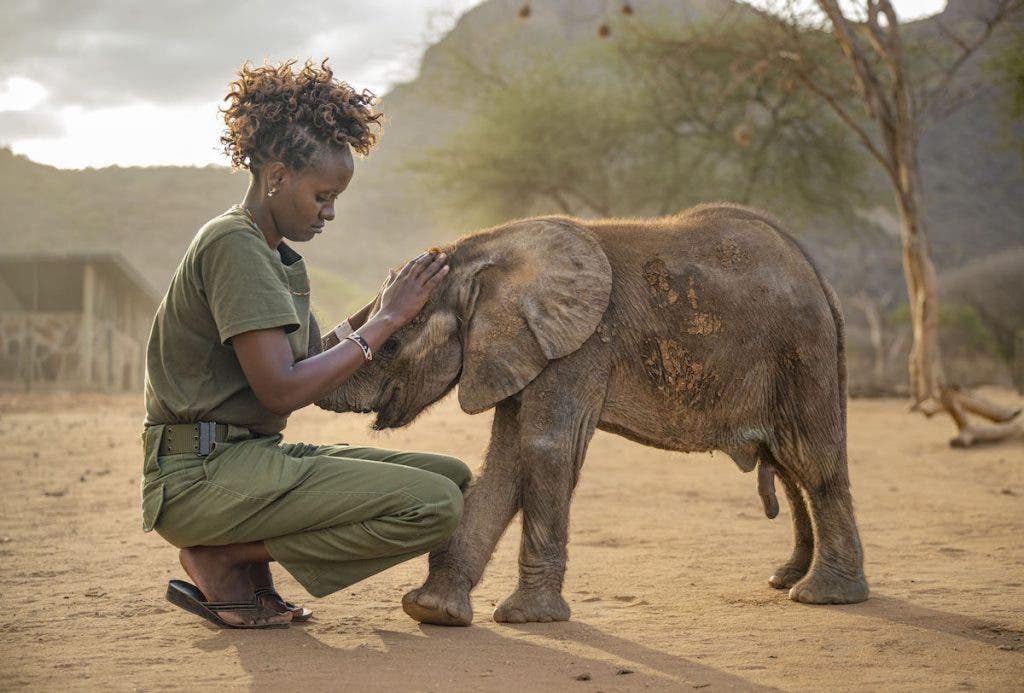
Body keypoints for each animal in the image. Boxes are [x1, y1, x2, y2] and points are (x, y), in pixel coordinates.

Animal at [312, 203, 869, 626]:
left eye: (395, 340)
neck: (487, 256)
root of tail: (820, 280)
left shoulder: (579, 344)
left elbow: (544, 448)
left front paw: (526, 618)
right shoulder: (525, 347)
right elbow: (507, 460)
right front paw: (433, 612)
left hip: (798, 349)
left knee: (811, 461)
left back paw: (822, 596)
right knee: (791, 468)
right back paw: (786, 579)